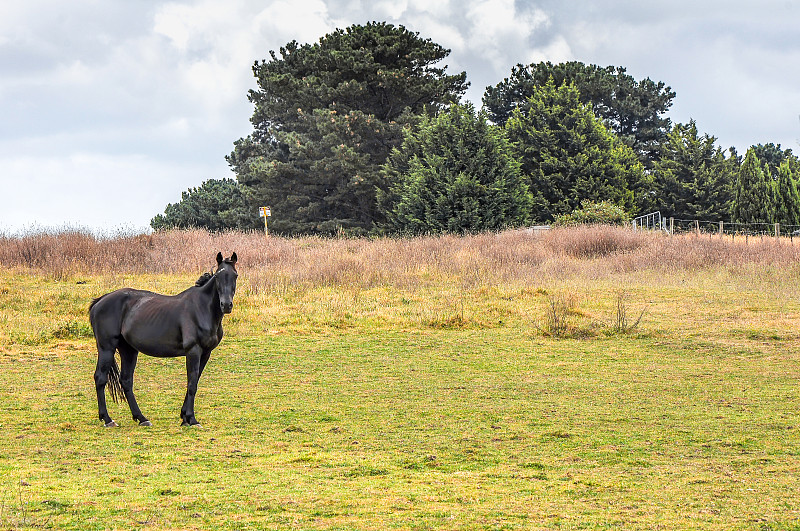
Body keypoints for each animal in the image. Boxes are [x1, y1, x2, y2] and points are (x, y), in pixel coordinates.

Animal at [89, 252, 238, 428]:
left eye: (235, 275)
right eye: (218, 277)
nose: (226, 305)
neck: (202, 308)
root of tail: (100, 301)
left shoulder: (205, 353)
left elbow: (194, 381)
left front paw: (184, 417)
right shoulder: (193, 351)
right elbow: (192, 383)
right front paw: (192, 419)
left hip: (129, 350)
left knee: (126, 381)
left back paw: (141, 418)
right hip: (107, 348)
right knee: (100, 378)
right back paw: (107, 419)